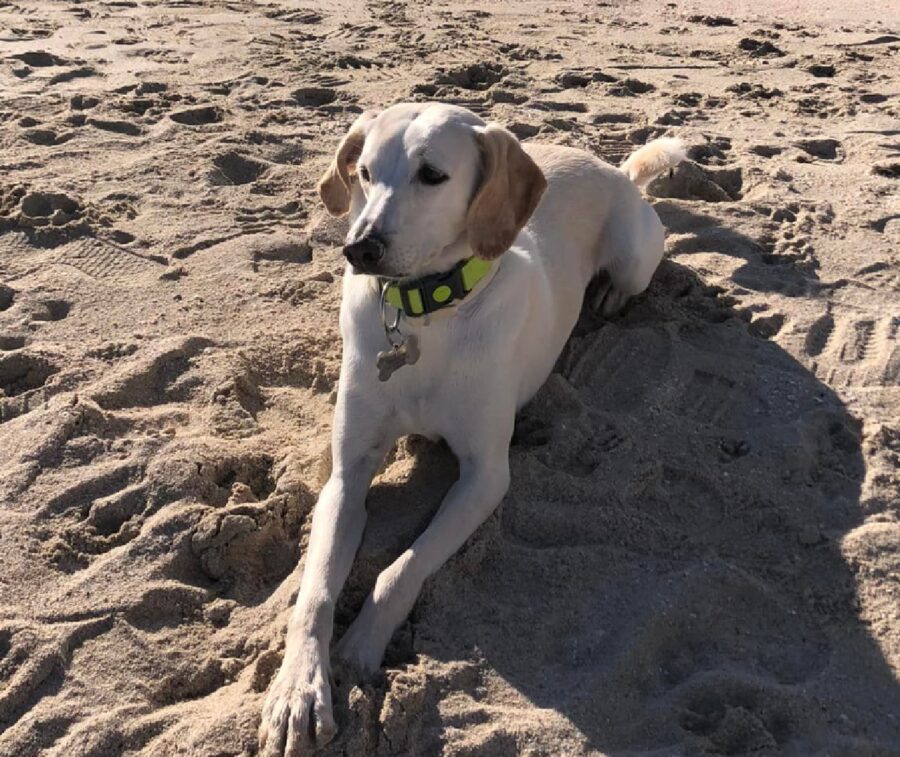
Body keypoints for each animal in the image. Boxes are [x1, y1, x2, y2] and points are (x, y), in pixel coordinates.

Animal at [256, 103, 684, 752]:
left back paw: (609, 292)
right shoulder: (346, 475)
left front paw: (362, 646)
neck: (423, 316)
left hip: (635, 257)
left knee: (629, 275)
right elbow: (315, 591)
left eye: (432, 175)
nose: (360, 249)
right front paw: (298, 688)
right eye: (363, 172)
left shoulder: (486, 476)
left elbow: (402, 568)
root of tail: (614, 168)